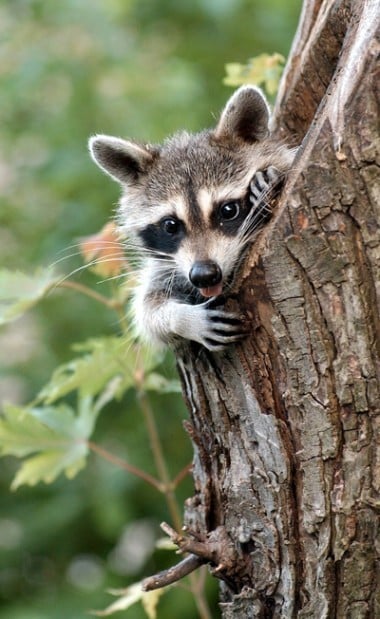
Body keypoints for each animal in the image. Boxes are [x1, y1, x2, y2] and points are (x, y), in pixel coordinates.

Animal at [88, 85, 294, 352]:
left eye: (228, 211)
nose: (204, 274)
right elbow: (147, 311)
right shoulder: (168, 268)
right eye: (170, 225)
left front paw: (267, 183)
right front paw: (182, 319)